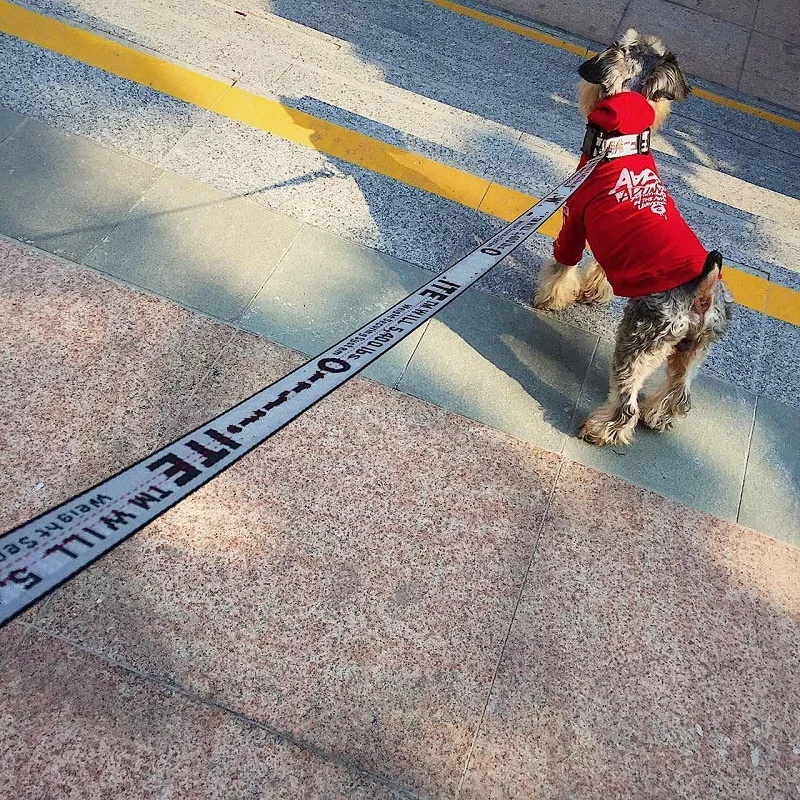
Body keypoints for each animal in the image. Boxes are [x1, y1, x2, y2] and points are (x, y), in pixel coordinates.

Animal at [536, 28, 736, 446]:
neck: (621, 143)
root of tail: (703, 294)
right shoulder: (610, 238)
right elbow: (599, 268)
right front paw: (592, 291)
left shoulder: (574, 219)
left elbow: (564, 264)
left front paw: (551, 298)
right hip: (692, 348)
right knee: (680, 392)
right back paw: (657, 415)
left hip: (641, 337)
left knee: (626, 397)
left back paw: (601, 429)